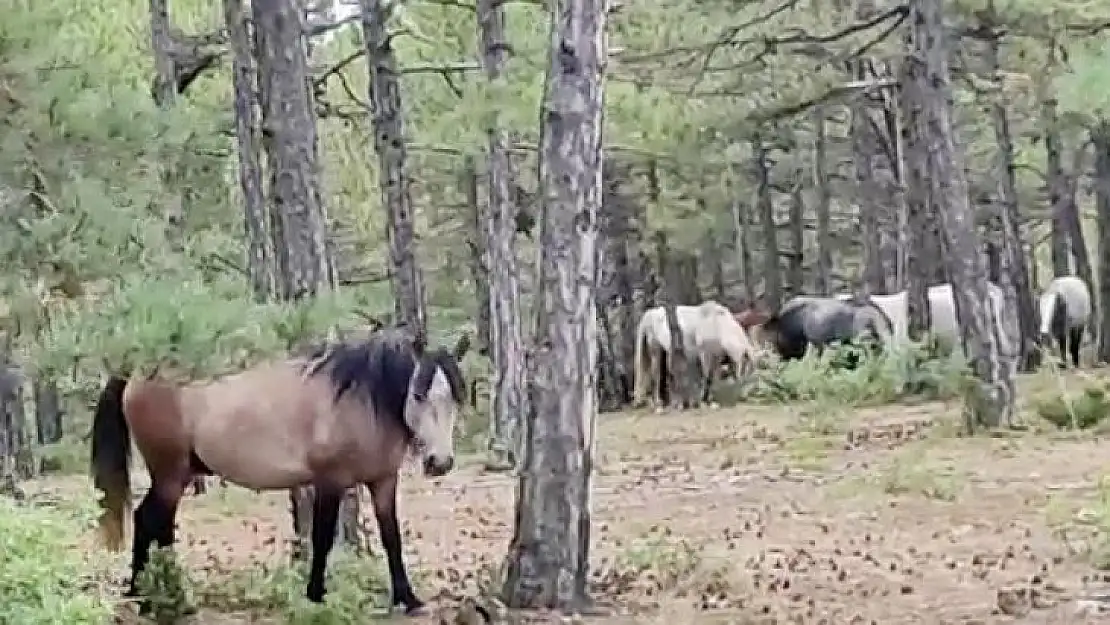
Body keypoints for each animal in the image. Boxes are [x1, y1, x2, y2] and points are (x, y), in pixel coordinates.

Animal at [88, 330, 466, 612]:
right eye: (418, 394)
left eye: (455, 397)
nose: (440, 462)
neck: (359, 400)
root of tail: (135, 375)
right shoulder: (330, 481)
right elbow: (322, 538)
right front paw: (316, 596)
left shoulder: (384, 481)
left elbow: (392, 537)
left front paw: (408, 599)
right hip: (169, 474)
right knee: (148, 521)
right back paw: (146, 597)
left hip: (176, 477)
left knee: (159, 525)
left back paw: (167, 596)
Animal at [630, 299, 759, 408]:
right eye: (746, 371)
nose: (744, 397)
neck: (718, 324)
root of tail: (648, 315)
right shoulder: (705, 354)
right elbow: (706, 376)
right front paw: (704, 400)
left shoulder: (716, 357)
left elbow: (713, 377)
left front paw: (709, 399)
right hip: (656, 349)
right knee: (656, 374)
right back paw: (660, 403)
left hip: (665, 352)